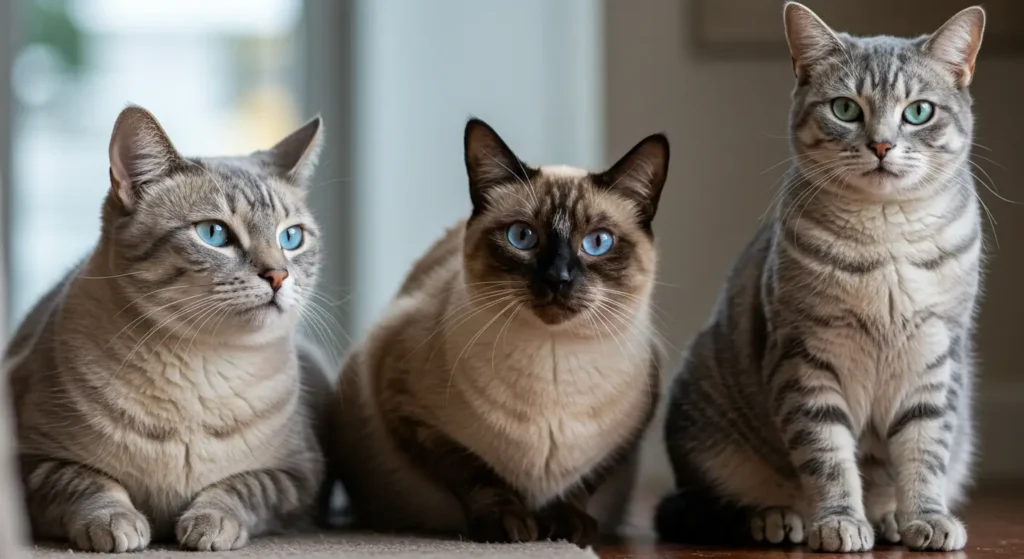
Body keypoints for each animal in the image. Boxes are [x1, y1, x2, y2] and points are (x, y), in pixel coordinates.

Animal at [9, 106, 335, 548]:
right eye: (214, 233)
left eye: (292, 238)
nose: (278, 276)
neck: (202, 368)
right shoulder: (34, 460)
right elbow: (86, 483)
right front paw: (115, 523)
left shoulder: (299, 475)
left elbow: (242, 487)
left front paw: (209, 523)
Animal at [655, 3, 983, 552]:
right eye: (846, 109)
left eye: (918, 112)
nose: (881, 145)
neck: (886, 241)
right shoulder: (806, 359)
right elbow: (828, 459)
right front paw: (839, 522)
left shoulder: (936, 356)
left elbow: (925, 453)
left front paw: (926, 518)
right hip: (707, 431)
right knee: (730, 501)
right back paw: (780, 519)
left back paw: (889, 518)